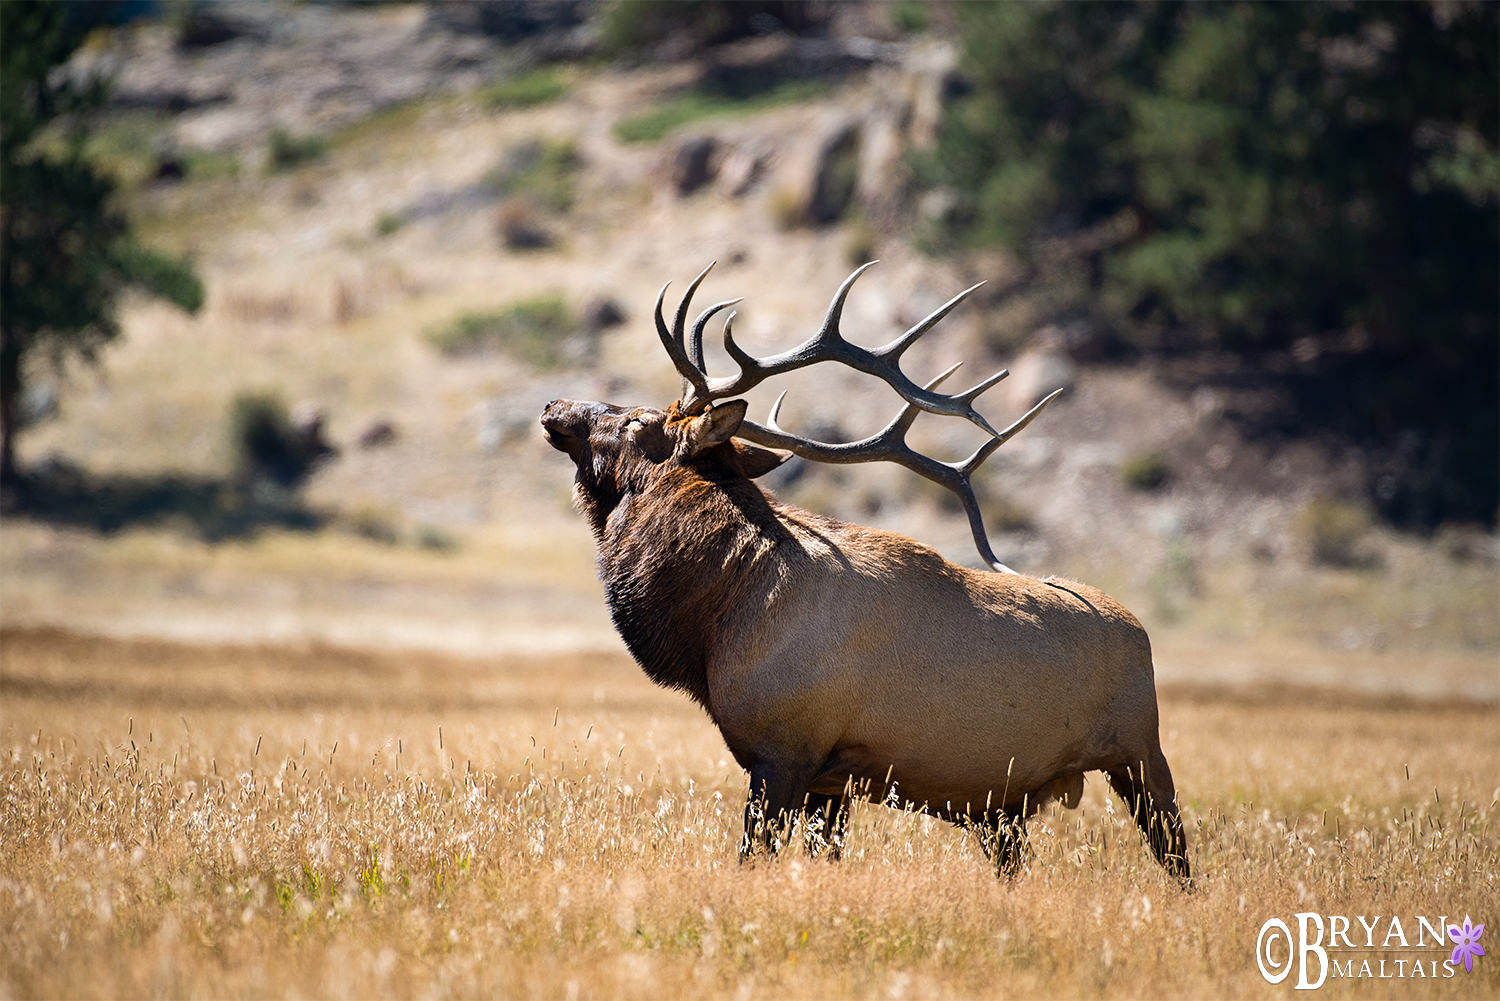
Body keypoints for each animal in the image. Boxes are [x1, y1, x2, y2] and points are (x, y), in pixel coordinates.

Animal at [543, 262, 1194, 882]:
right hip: (1005, 810)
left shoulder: (785, 752)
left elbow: (753, 856)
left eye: (636, 422)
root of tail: (1140, 630)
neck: (719, 619)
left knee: (1178, 856)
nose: (554, 406)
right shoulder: (831, 781)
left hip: (1142, 754)